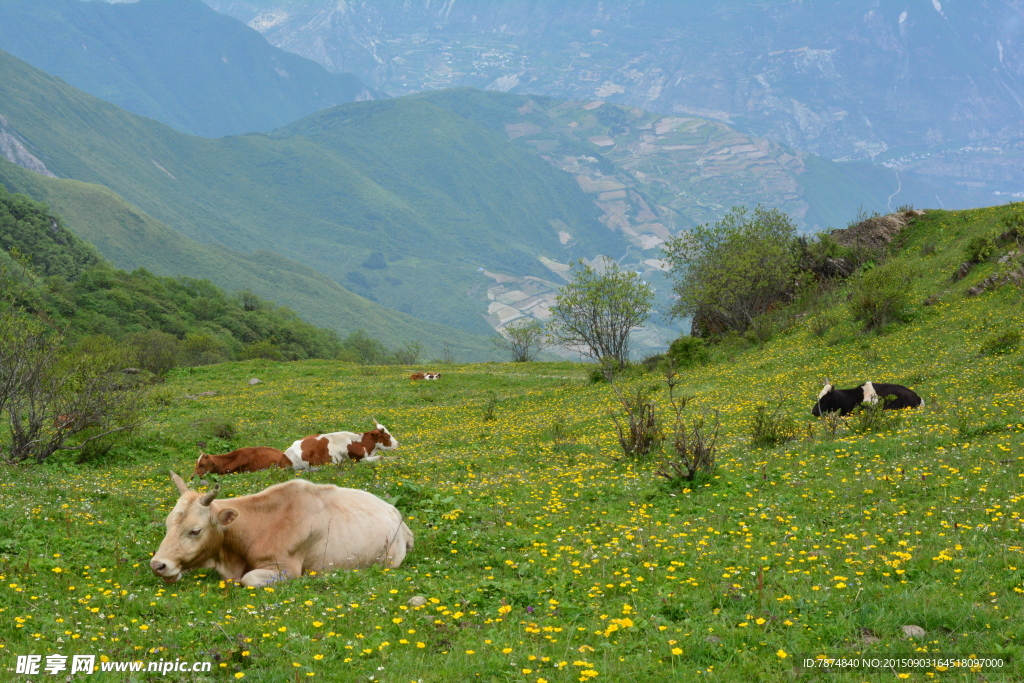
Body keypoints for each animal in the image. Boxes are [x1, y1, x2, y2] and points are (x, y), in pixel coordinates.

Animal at [149, 471, 413, 589]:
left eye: (195, 531)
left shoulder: (286, 569)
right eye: (167, 524)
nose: (158, 565)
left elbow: (248, 579)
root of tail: (395, 513)